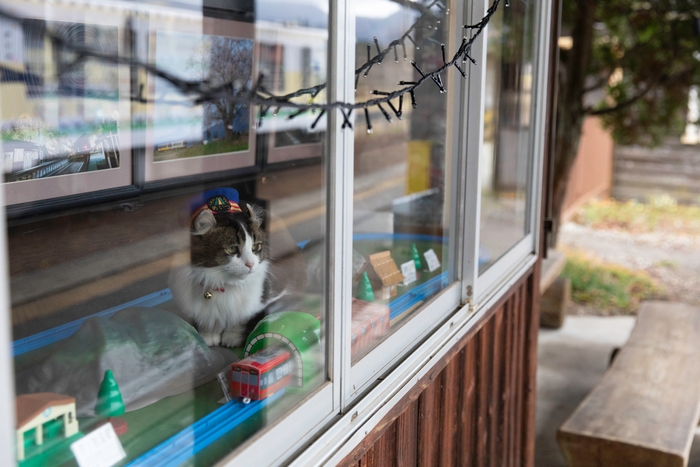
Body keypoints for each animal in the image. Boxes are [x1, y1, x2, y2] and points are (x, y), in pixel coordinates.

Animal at [170, 189, 306, 348]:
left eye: (255, 247)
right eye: (232, 249)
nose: (251, 264)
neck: (220, 283)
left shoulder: (254, 305)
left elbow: (239, 321)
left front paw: (232, 337)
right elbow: (207, 320)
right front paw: (208, 335)